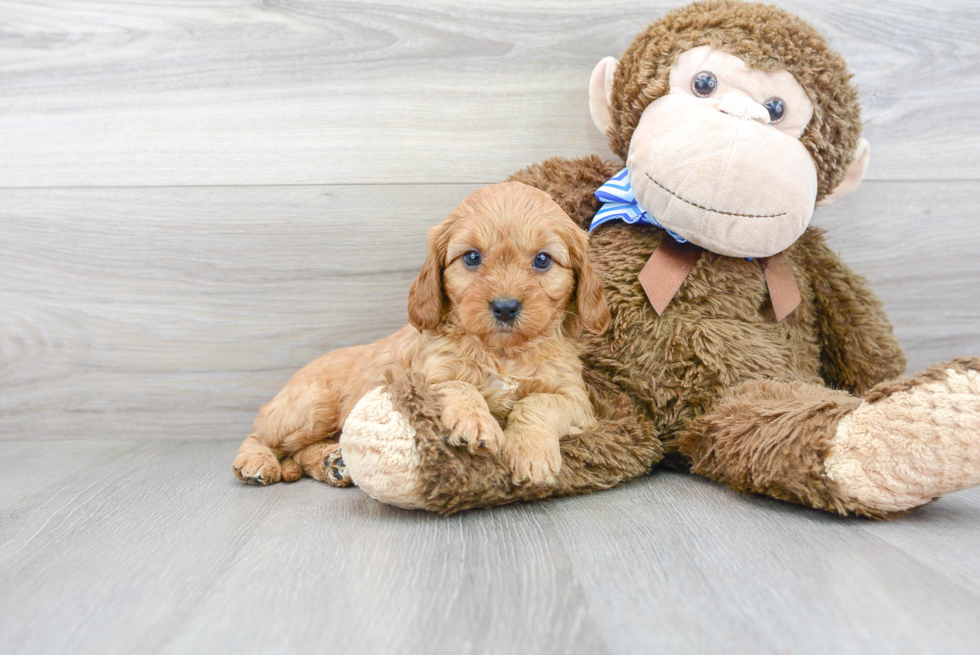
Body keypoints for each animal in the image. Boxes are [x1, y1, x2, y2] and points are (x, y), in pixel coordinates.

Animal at [233, 182, 608, 490]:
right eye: (472, 257)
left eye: (543, 260)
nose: (505, 307)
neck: (502, 353)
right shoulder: (425, 378)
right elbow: (461, 386)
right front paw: (476, 424)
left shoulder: (576, 400)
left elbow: (537, 402)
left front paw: (531, 455)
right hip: (312, 408)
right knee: (261, 435)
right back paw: (257, 462)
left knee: (299, 452)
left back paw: (333, 462)